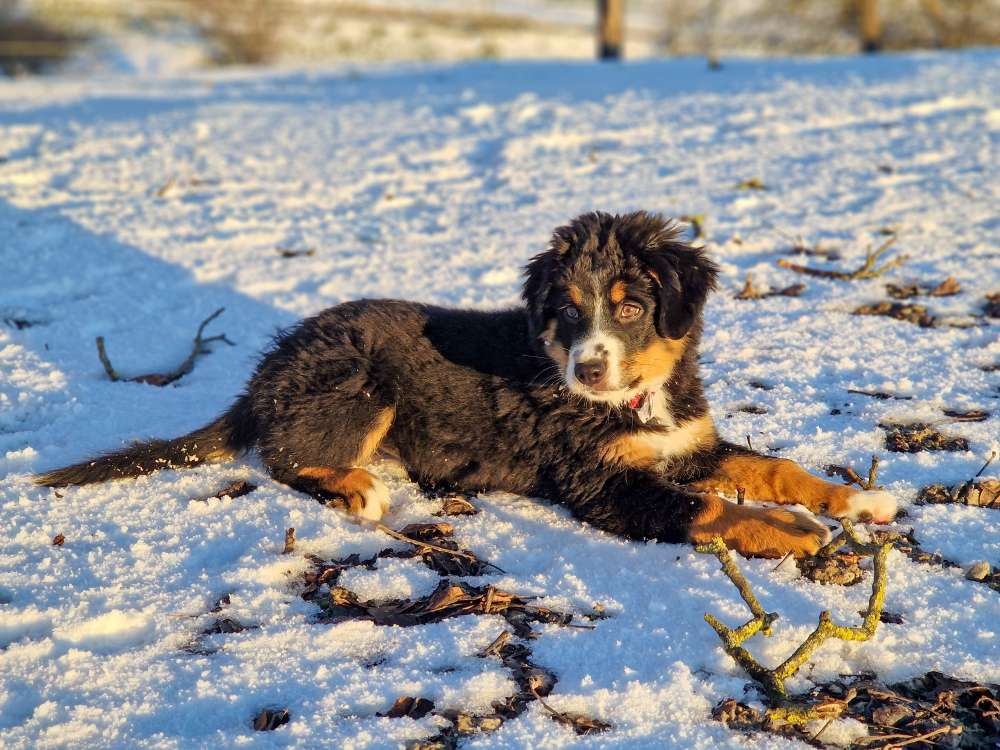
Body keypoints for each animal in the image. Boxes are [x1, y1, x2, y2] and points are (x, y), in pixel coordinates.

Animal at [39, 212, 900, 560]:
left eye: (629, 305)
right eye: (566, 309)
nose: (587, 369)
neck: (633, 399)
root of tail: (264, 376)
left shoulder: (684, 445)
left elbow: (769, 467)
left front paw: (856, 501)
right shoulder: (602, 484)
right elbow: (712, 508)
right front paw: (796, 533)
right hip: (359, 382)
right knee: (283, 457)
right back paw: (357, 486)